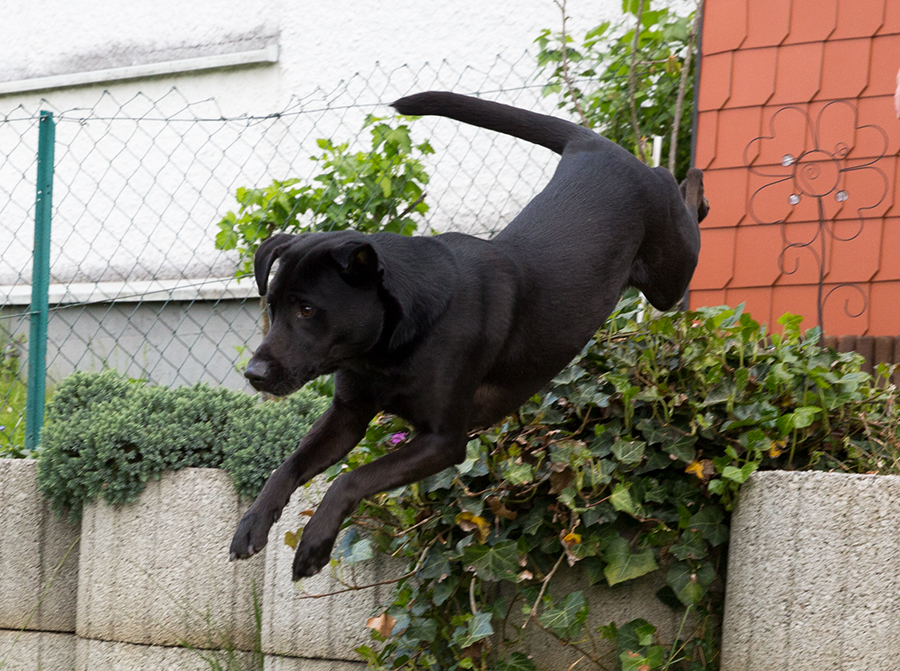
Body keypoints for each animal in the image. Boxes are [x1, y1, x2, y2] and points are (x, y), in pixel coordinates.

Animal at [229, 92, 708, 580]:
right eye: (272, 307)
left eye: (307, 310)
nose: (254, 374)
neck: (389, 348)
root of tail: (595, 145)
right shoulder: (348, 416)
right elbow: (287, 466)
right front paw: (252, 523)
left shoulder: (442, 440)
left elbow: (350, 478)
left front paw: (314, 544)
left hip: (671, 274)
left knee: (675, 185)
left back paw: (693, 185)